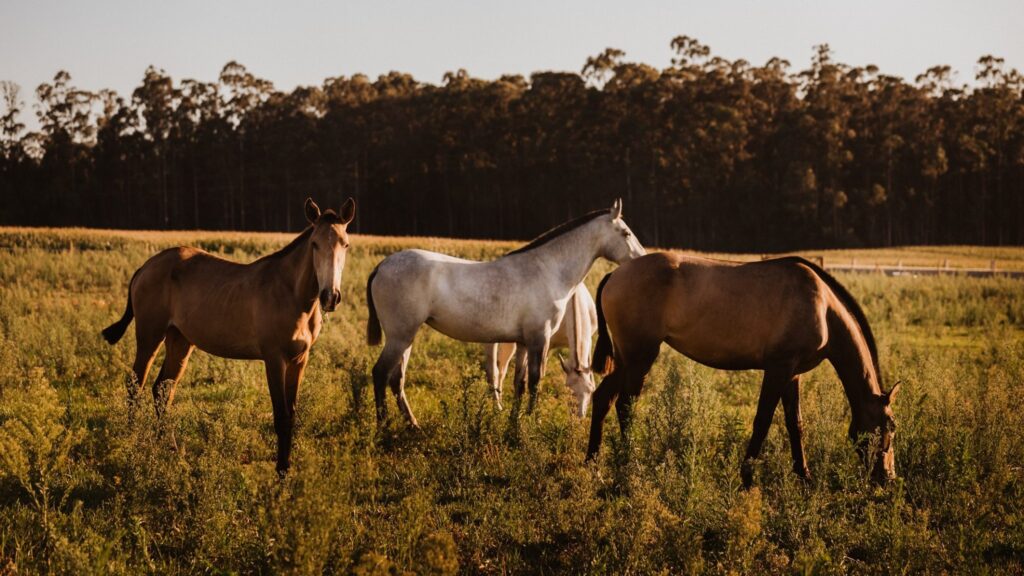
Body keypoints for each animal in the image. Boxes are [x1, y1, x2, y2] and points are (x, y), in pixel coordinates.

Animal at [483, 280, 598, 412]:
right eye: (571, 391)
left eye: (590, 391)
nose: (579, 415)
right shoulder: (545, 343)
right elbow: (540, 376)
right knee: (498, 370)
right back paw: (498, 405)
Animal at [589, 251, 901, 483]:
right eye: (890, 427)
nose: (888, 478)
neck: (823, 307)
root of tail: (615, 274)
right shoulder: (778, 368)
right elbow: (762, 421)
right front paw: (747, 477)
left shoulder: (793, 374)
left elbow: (795, 424)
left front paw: (804, 476)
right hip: (640, 356)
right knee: (625, 405)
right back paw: (629, 464)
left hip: (626, 359)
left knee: (603, 399)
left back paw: (594, 466)